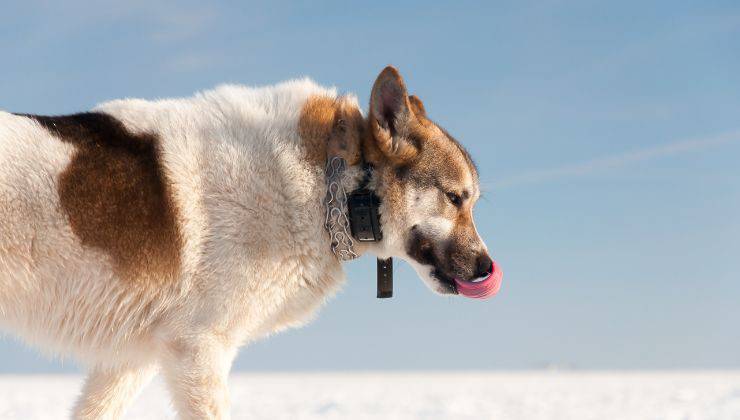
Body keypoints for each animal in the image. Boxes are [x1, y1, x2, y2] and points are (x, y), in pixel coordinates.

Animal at [0, 67, 500, 418]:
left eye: (471, 202)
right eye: (456, 198)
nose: (487, 270)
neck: (329, 182)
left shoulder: (134, 357)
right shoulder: (199, 349)